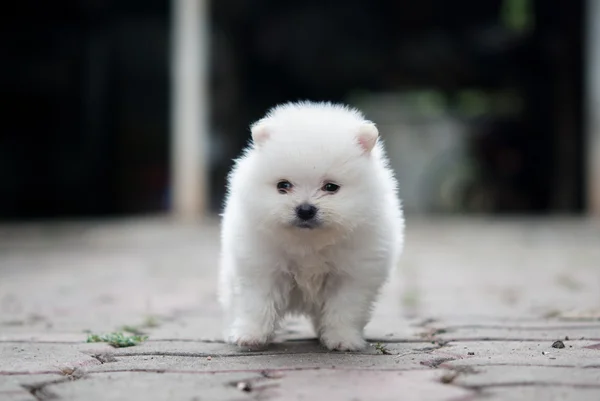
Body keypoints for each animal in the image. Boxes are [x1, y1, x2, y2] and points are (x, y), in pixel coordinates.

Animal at [218, 101, 406, 350]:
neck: (308, 243)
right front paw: (251, 335)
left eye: (331, 187)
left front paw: (342, 339)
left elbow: (345, 309)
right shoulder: (261, 269)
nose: (305, 209)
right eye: (283, 185)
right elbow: (257, 304)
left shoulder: (353, 275)